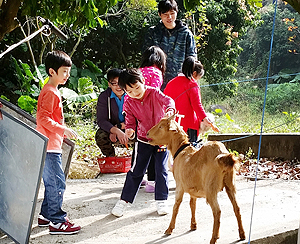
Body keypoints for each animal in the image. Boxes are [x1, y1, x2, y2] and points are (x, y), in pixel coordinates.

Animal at [146, 115, 245, 244]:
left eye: (161, 126)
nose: (147, 133)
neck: (181, 150)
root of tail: (224, 156)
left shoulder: (180, 185)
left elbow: (176, 206)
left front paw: (169, 229)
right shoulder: (192, 188)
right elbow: (192, 204)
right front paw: (193, 225)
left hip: (210, 188)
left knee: (217, 211)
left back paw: (214, 238)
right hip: (230, 185)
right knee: (236, 207)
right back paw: (242, 234)